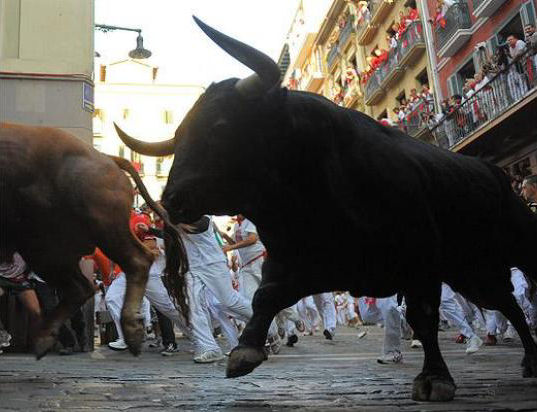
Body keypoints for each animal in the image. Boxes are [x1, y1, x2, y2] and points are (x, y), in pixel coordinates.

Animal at [114, 18, 536, 402]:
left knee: (515, 296)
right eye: (179, 135)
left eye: (219, 127)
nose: (171, 199)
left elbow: (424, 316)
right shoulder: (298, 264)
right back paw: (527, 358)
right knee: (507, 303)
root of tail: (492, 171)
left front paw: (435, 379)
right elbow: (264, 298)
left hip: (508, 251)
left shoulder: (420, 264)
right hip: (473, 271)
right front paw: (246, 350)